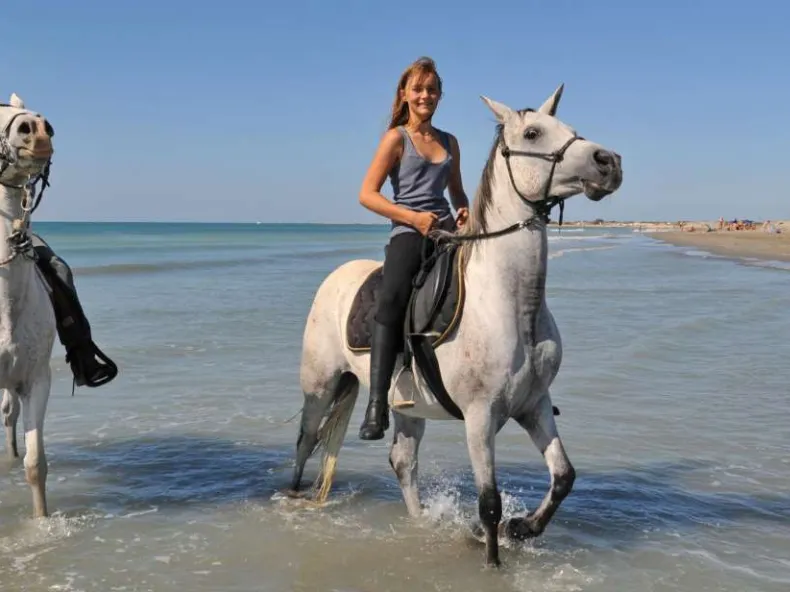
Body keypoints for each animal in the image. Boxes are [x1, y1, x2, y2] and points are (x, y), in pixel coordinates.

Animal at [289, 85, 623, 567]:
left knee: (402, 461)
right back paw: (293, 498)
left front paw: (522, 528)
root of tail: (336, 277)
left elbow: (564, 476)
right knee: (306, 440)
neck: (510, 304)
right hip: (320, 385)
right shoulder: (480, 417)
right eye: (533, 133)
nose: (609, 162)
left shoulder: (534, 404)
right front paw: (493, 561)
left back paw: (419, 523)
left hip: (407, 407)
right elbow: (489, 502)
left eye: (570, 128)